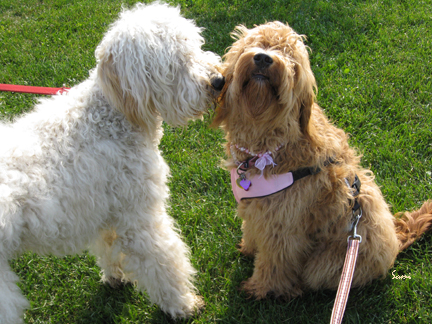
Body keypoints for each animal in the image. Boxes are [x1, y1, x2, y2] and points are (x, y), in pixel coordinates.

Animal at [0, 1, 223, 322]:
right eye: (174, 63)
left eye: (196, 45)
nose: (219, 81)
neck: (114, 116)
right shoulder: (139, 217)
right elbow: (163, 261)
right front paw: (183, 305)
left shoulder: (108, 211)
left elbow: (108, 247)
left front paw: (116, 277)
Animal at [213, 22, 432, 298]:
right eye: (254, 44)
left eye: (291, 59)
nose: (263, 58)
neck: (270, 141)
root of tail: (396, 239)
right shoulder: (255, 206)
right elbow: (253, 230)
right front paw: (248, 247)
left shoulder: (283, 224)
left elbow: (273, 261)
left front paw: (260, 288)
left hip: (326, 263)